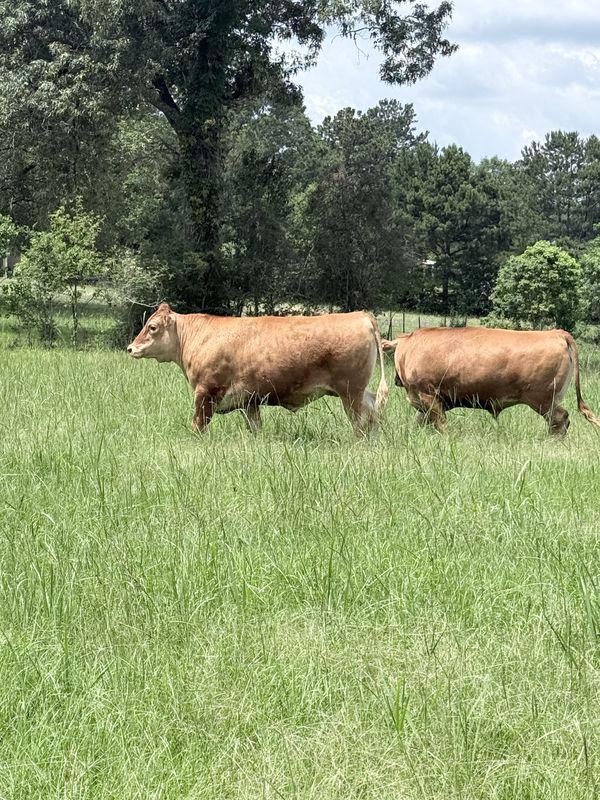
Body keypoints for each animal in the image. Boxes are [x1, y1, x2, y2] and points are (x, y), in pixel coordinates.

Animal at [127, 304, 388, 435]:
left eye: (152, 327)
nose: (130, 348)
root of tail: (361, 315)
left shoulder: (206, 392)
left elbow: (198, 425)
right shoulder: (249, 401)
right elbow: (255, 427)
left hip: (350, 392)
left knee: (361, 420)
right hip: (359, 392)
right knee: (374, 411)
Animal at [383, 326, 600, 436]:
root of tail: (556, 333)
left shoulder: (428, 396)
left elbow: (442, 425)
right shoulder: (426, 403)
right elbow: (421, 422)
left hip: (544, 400)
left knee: (560, 419)